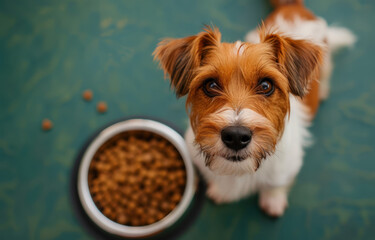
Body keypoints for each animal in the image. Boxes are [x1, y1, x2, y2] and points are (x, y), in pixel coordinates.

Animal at [152, 0, 356, 217]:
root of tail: (292, 6)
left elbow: (275, 185)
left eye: (266, 85)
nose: (235, 136)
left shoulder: (286, 168)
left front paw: (273, 201)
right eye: (211, 85)